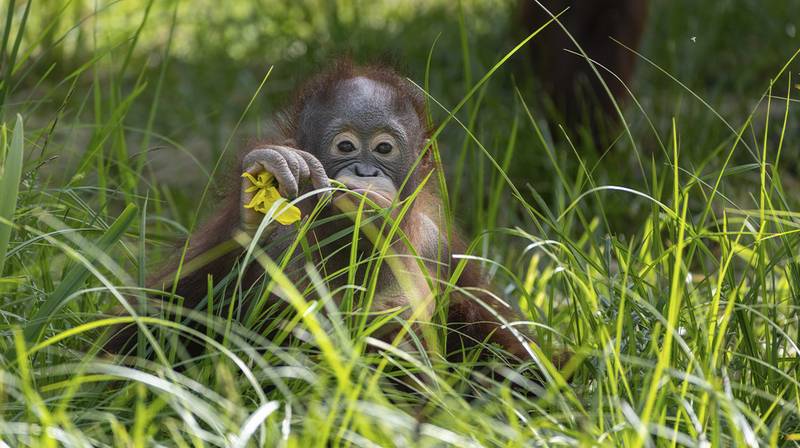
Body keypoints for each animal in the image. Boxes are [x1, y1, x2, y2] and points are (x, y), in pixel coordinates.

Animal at [104, 61, 537, 368]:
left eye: (384, 148)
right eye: (345, 146)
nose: (365, 172)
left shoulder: (443, 248)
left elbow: (500, 343)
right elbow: (162, 319)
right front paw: (255, 202)